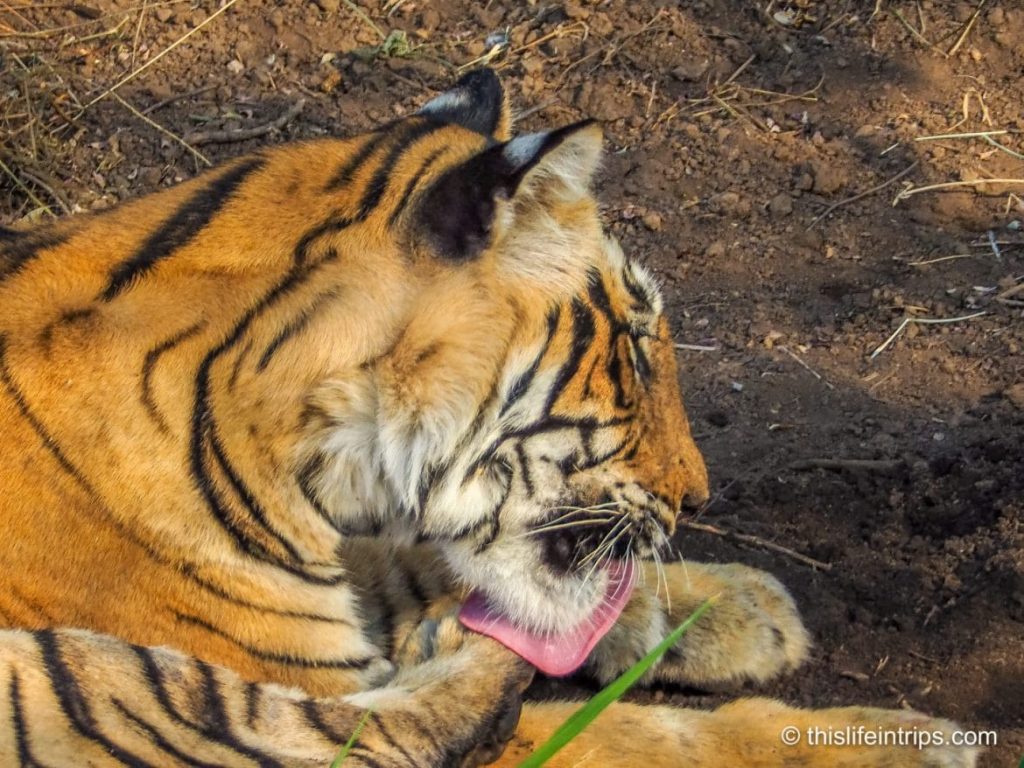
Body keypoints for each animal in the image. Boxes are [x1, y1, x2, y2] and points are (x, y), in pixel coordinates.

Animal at [0, 68, 978, 767]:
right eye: (633, 355)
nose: (698, 497)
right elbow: (621, 733)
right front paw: (891, 743)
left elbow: (434, 569)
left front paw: (740, 605)